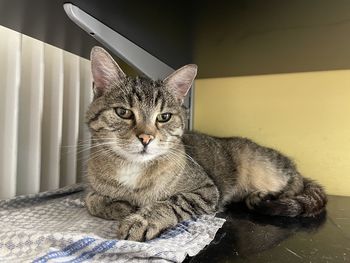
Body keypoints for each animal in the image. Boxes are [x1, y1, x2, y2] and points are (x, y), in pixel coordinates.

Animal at [86, 47, 326, 241]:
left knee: (295, 184)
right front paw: (120, 205)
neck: (133, 170)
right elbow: (91, 199)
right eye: (123, 112)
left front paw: (141, 220)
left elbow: (172, 202)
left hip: (267, 169)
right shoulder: (92, 188)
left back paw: (263, 195)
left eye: (164, 117)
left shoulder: (206, 190)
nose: (146, 138)